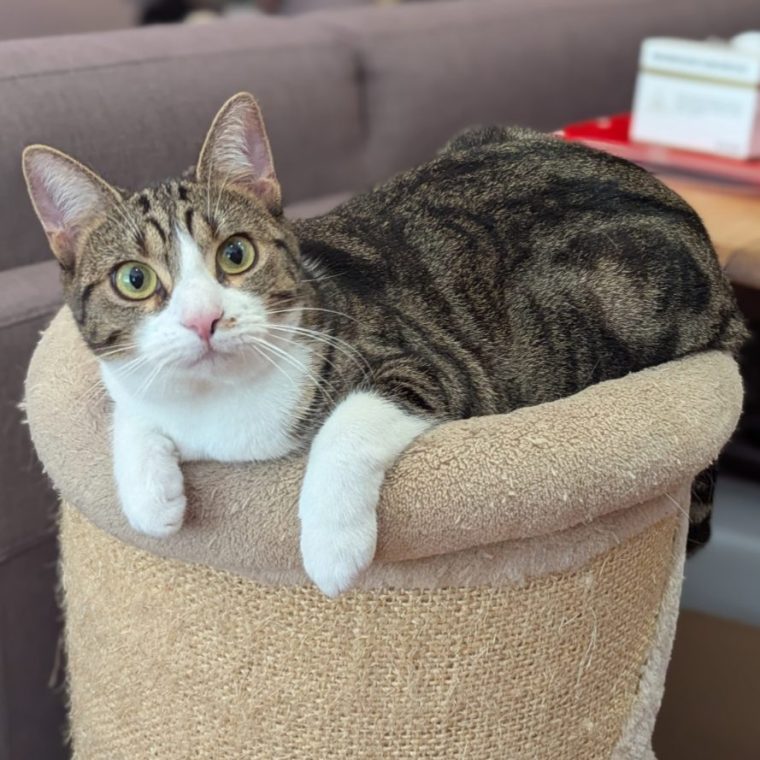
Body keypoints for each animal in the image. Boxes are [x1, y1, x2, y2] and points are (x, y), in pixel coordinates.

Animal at [23, 93, 747, 596]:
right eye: (135, 280)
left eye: (235, 254)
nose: (204, 320)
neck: (220, 408)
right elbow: (130, 407)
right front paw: (152, 497)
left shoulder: (436, 365)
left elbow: (352, 421)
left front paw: (331, 548)